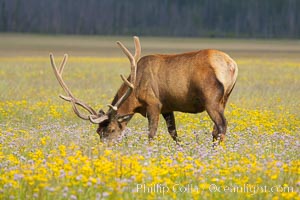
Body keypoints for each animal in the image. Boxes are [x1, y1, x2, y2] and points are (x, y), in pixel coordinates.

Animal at [49, 36, 238, 142]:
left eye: (112, 129)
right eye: (98, 131)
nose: (105, 148)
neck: (135, 97)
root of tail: (231, 64)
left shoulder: (154, 104)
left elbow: (151, 133)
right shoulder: (167, 107)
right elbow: (173, 133)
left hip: (211, 99)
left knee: (222, 125)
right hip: (225, 98)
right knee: (216, 129)